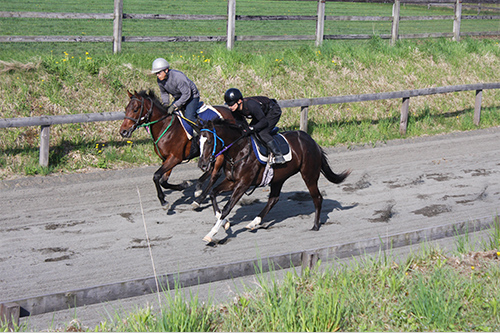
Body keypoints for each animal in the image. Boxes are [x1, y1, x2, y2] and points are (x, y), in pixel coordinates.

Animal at [197, 118, 350, 241]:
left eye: (209, 141)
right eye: (198, 141)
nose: (202, 164)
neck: (239, 150)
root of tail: (313, 142)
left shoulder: (243, 184)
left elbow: (227, 207)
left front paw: (211, 233)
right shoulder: (231, 181)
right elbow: (213, 193)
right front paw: (224, 221)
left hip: (309, 175)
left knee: (317, 197)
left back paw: (315, 225)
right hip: (278, 178)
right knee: (273, 199)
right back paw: (254, 222)